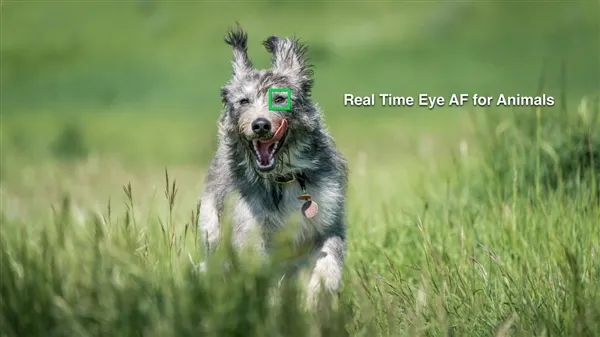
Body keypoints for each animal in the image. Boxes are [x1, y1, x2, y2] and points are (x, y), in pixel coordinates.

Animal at [198, 24, 346, 308]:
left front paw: (316, 297)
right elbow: (262, 274)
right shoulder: (250, 231)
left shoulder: (328, 220)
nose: (260, 125)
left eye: (279, 99)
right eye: (244, 101)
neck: (282, 179)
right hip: (213, 231)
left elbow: (329, 260)